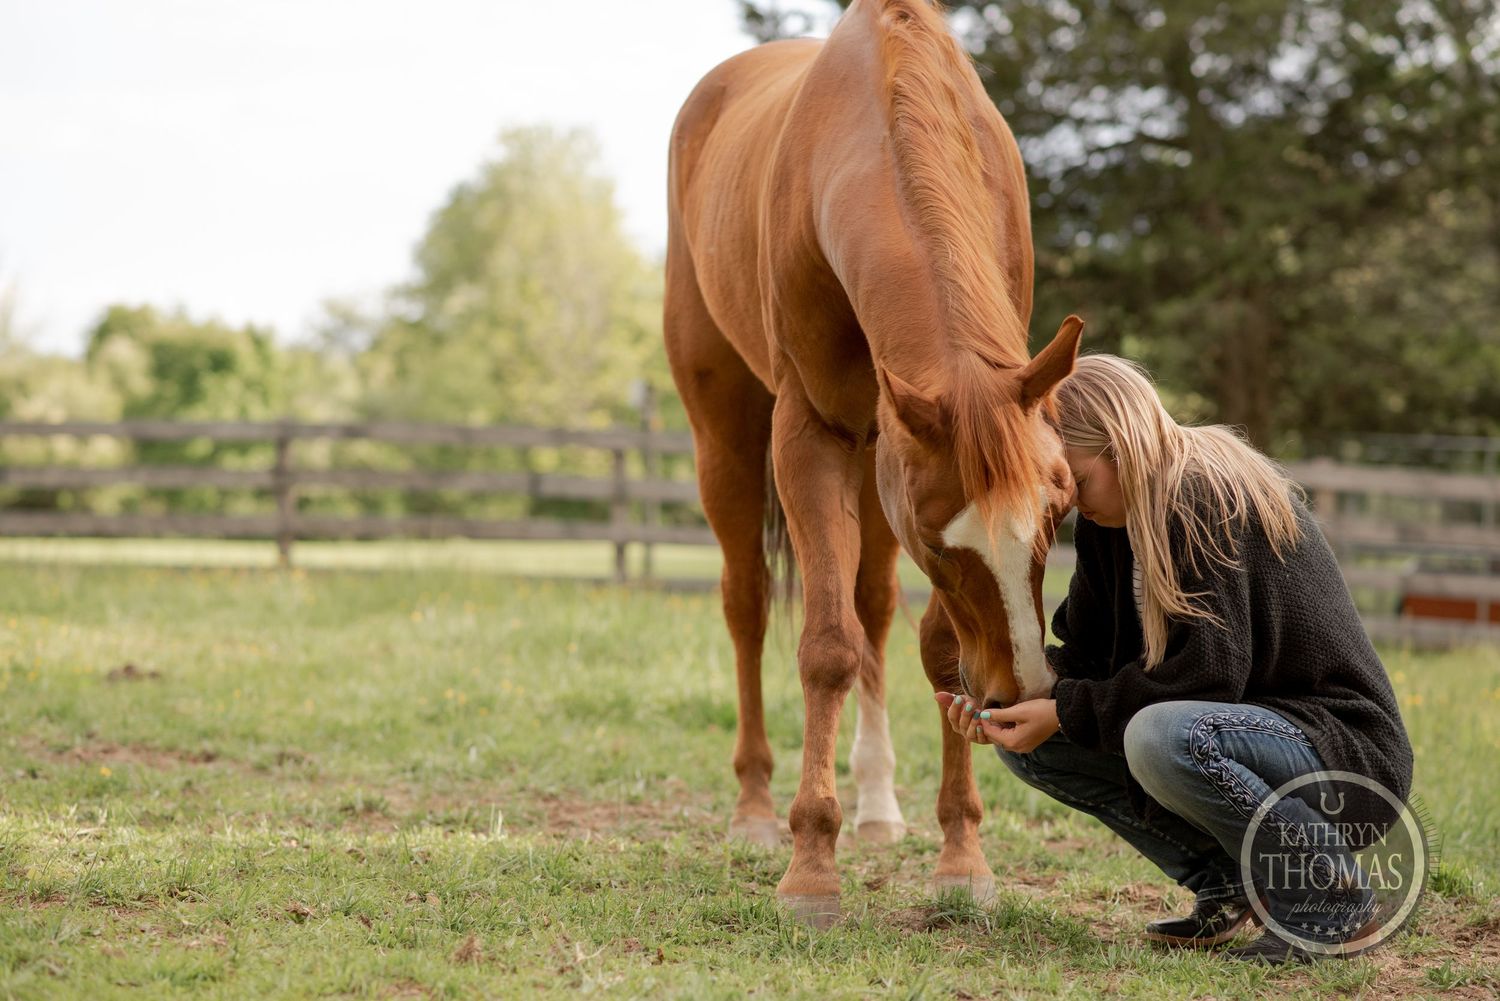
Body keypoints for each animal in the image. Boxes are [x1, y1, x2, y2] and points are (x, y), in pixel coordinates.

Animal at [664, 0, 1083, 925]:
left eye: (1059, 512)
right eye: (940, 543)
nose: (1019, 693)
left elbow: (931, 646)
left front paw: (961, 856)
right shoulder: (812, 437)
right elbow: (825, 646)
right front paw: (810, 866)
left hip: (873, 460)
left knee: (875, 610)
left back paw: (881, 805)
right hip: (731, 442)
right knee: (749, 604)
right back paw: (755, 810)